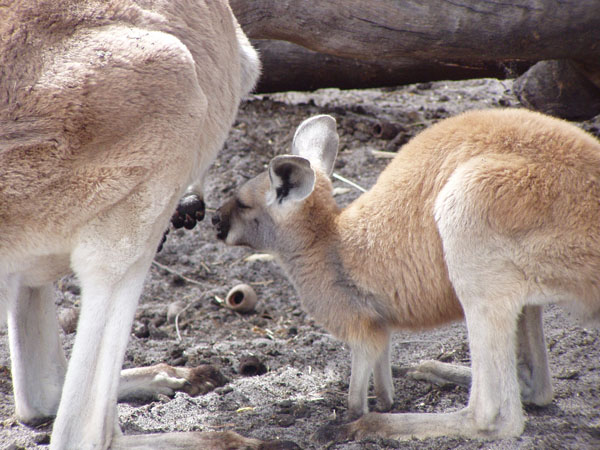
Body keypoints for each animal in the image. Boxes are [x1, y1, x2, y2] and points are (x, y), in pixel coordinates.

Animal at [213, 110, 600, 441]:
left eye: (243, 204)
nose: (214, 219)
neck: (325, 242)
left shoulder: (360, 322)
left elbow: (361, 371)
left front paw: (357, 412)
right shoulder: (378, 323)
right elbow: (381, 358)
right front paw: (386, 397)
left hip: (472, 210)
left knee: (495, 415)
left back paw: (371, 425)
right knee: (536, 386)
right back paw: (430, 370)